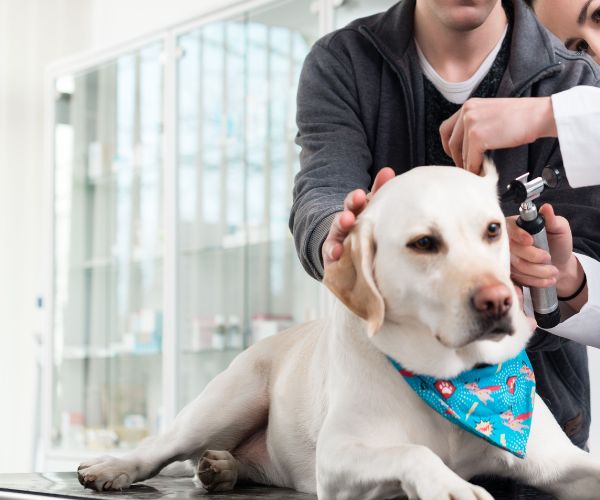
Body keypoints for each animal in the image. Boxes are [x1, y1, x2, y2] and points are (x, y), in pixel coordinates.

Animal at [77, 162, 600, 498]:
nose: (498, 300)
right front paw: (454, 486)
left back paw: (222, 467)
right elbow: (413, 451)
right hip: (225, 402)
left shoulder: (557, 460)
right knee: (160, 447)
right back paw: (113, 467)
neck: (454, 381)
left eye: (493, 229)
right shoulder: (339, 455)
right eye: (424, 243)